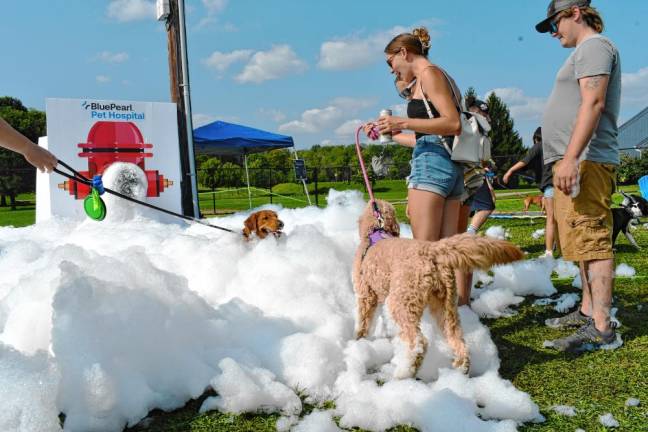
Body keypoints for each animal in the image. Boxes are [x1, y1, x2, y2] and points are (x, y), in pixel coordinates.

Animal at [354, 199, 528, 378]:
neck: (377, 230)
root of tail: (431, 250)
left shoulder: (365, 293)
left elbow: (364, 321)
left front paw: (359, 339)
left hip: (401, 302)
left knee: (418, 342)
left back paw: (405, 372)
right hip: (446, 305)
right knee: (457, 338)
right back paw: (461, 368)